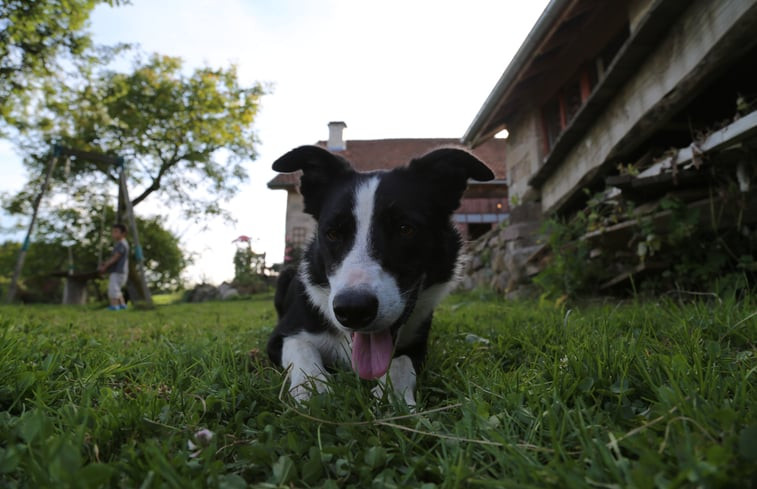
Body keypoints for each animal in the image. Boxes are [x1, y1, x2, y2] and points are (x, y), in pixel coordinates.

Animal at [268, 145, 496, 404]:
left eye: (405, 229)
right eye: (333, 233)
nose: (354, 310)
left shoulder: (418, 346)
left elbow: (401, 361)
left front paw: (393, 394)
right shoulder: (280, 336)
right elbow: (302, 348)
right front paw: (313, 389)